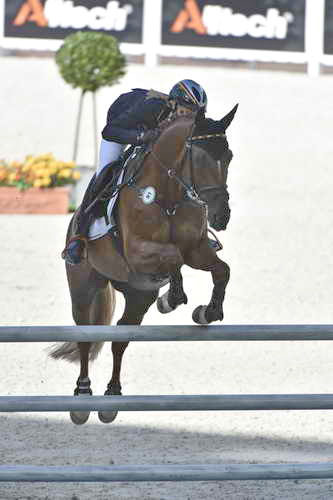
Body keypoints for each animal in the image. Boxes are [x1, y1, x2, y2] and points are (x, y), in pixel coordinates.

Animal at [50, 103, 236, 424]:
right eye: (199, 158)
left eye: (229, 156)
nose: (221, 216)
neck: (170, 194)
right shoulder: (137, 250)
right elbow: (173, 255)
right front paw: (173, 298)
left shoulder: (197, 251)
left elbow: (221, 269)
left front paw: (207, 311)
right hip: (84, 287)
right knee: (85, 337)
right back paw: (83, 396)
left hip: (137, 297)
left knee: (121, 339)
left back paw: (111, 397)